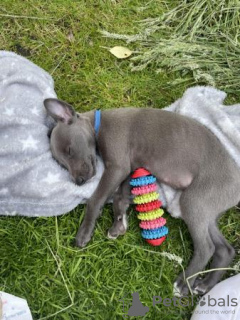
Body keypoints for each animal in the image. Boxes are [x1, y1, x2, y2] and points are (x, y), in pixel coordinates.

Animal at [44, 98, 239, 298]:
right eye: (61, 164)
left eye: (69, 150)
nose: (79, 182)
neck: (99, 124)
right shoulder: (131, 167)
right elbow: (119, 197)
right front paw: (119, 224)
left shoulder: (118, 167)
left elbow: (96, 199)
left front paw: (85, 231)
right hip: (206, 209)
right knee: (225, 249)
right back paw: (205, 284)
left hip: (194, 202)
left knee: (207, 247)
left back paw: (184, 283)